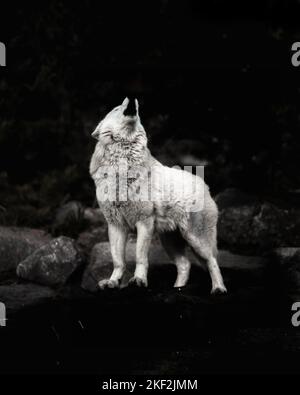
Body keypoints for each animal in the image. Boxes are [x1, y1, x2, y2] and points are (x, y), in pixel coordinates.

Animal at [90, 97, 226, 294]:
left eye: (137, 110)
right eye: (116, 109)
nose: (132, 100)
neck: (121, 167)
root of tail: (205, 186)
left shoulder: (144, 221)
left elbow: (140, 256)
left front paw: (138, 280)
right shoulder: (115, 225)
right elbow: (118, 260)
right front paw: (113, 282)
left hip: (196, 240)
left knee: (212, 261)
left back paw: (218, 289)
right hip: (170, 241)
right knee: (185, 264)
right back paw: (178, 288)